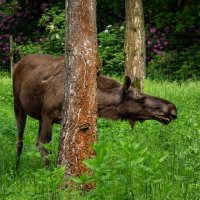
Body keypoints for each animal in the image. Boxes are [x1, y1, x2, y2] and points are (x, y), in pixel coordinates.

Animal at [13, 54, 177, 166]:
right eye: (141, 98)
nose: (172, 109)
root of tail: (17, 62)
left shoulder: (50, 118)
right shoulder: (48, 116)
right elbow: (45, 147)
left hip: (39, 116)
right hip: (18, 105)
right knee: (20, 140)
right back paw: (16, 169)